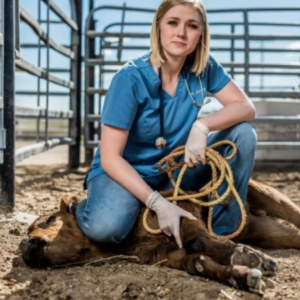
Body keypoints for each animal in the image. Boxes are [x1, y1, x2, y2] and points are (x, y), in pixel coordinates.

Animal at [19, 179, 300, 294]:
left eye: (48, 220)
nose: (25, 243)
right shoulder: (169, 257)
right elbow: (198, 261)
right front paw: (245, 277)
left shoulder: (185, 216)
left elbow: (204, 239)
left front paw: (252, 259)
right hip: (263, 229)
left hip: (270, 195)